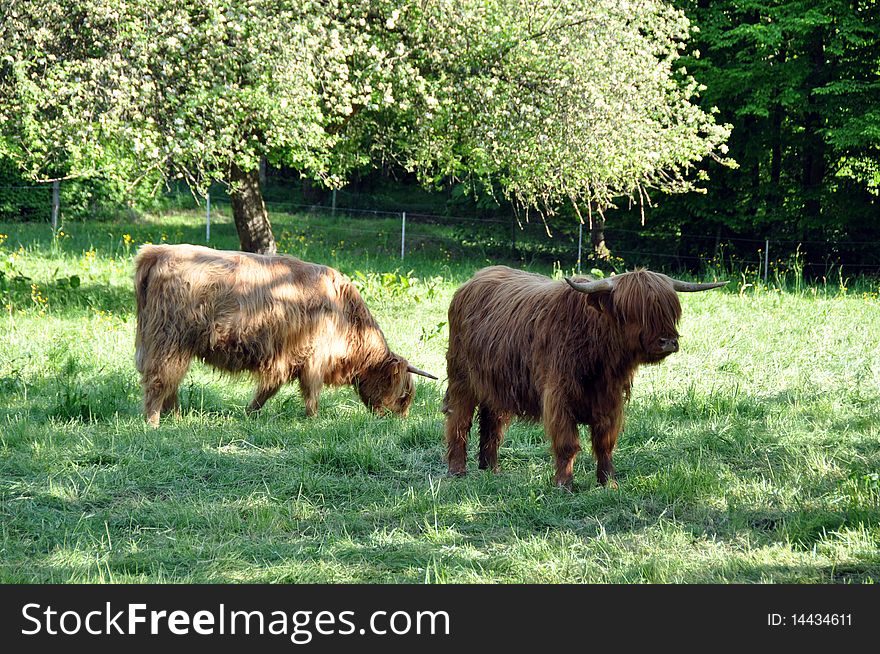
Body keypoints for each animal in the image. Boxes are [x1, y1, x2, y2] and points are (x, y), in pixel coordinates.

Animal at [135, 245, 436, 426]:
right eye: (403, 395)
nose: (399, 421)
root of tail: (158, 252)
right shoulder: (315, 358)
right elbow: (311, 393)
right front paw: (314, 420)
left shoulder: (287, 359)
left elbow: (269, 390)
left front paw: (249, 413)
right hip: (169, 340)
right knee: (160, 380)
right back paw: (154, 422)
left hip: (170, 344)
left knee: (170, 381)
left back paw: (176, 417)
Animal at [444, 266, 724, 486]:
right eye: (633, 311)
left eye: (671, 310)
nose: (668, 341)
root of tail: (472, 281)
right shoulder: (558, 396)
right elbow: (567, 443)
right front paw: (564, 484)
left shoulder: (610, 399)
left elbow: (605, 442)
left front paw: (608, 482)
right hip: (462, 377)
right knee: (459, 419)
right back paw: (458, 470)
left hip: (496, 383)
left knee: (493, 422)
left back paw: (490, 468)